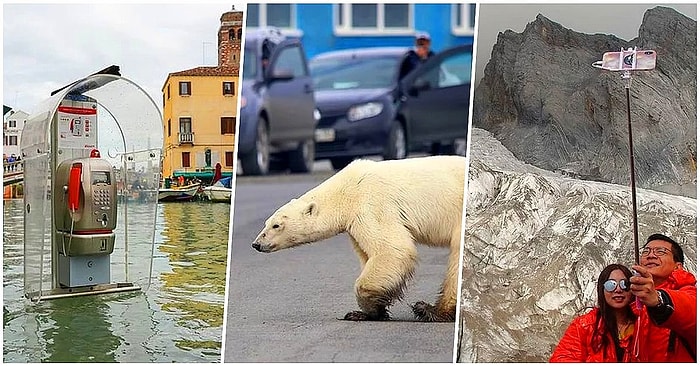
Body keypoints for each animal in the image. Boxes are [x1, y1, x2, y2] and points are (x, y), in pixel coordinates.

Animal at [250, 156, 464, 322]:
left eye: (276, 225)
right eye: (267, 223)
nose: (256, 244)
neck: (346, 189)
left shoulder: (371, 204)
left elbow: (392, 249)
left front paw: (369, 309)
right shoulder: (355, 223)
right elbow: (367, 255)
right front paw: (369, 311)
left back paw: (431, 310)